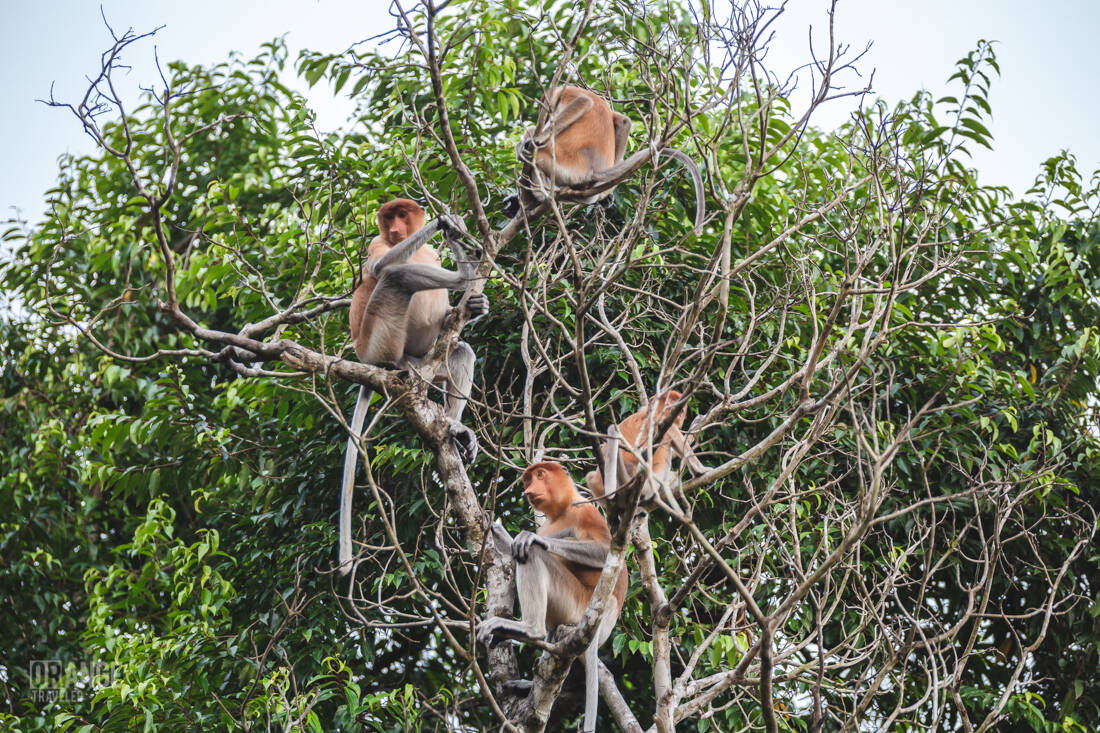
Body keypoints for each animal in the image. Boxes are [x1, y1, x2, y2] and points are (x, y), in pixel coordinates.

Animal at [339, 198, 489, 575]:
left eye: (402, 215)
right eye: (388, 217)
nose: (395, 229)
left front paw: (475, 304)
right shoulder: (377, 244)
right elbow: (380, 265)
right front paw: (446, 223)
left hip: (425, 361)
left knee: (461, 352)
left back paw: (455, 430)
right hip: (380, 340)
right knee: (396, 276)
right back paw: (464, 277)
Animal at [478, 462, 628, 733]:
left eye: (540, 475)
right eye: (527, 480)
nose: (529, 490)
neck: (561, 511)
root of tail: (602, 625)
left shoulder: (585, 510)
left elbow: (605, 551)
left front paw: (532, 537)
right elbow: (512, 551)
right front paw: (493, 526)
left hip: (576, 604)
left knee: (533, 555)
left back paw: (529, 628)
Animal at [502, 85, 705, 235]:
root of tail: (593, 169)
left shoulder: (562, 93)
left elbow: (583, 102)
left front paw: (531, 143)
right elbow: (623, 121)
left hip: (556, 160)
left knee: (532, 136)